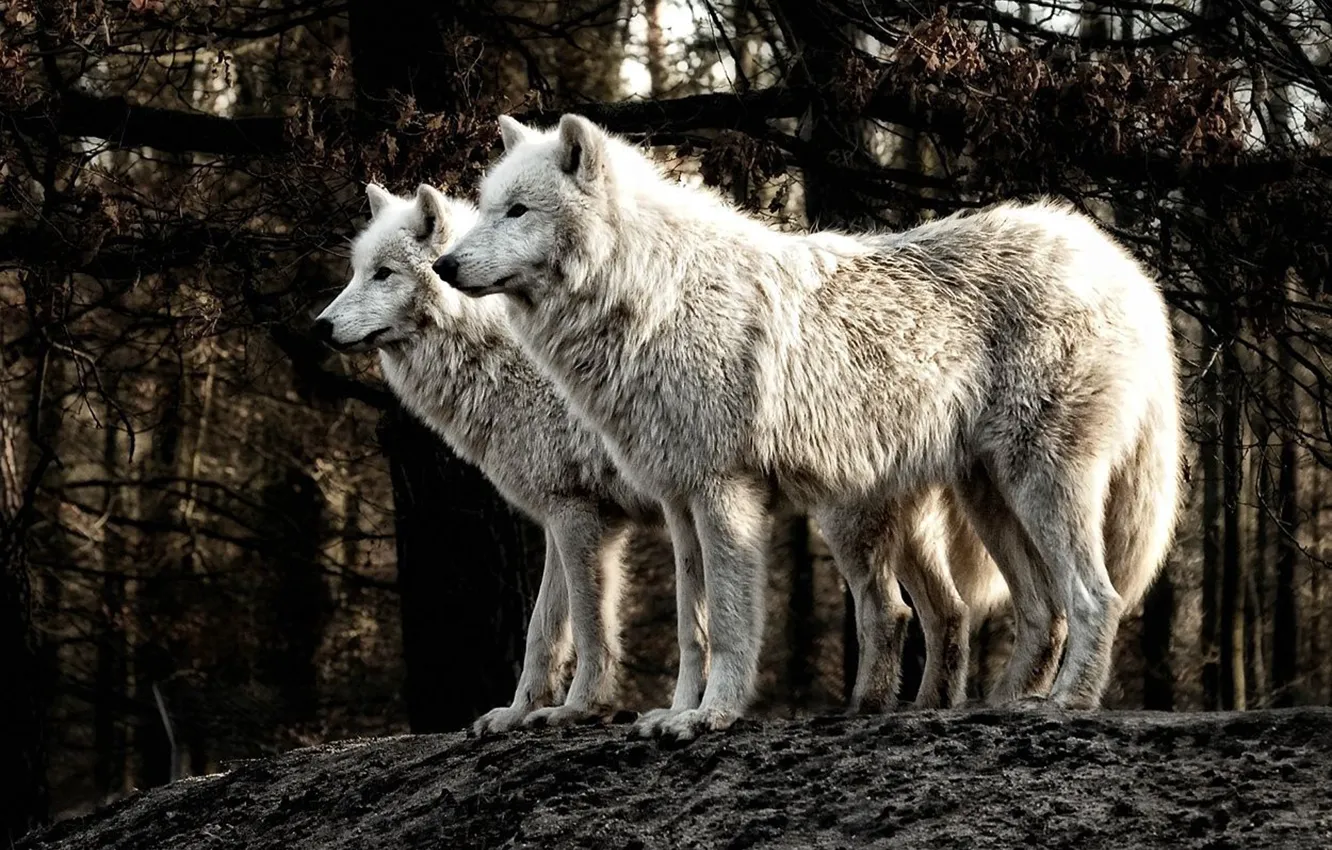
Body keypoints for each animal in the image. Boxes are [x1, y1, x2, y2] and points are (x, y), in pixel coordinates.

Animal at [315, 183, 1006, 734]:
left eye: (383, 274)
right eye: (356, 271)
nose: (319, 326)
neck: (511, 354)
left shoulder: (580, 517)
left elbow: (588, 627)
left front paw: (578, 711)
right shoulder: (564, 518)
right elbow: (544, 632)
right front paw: (516, 714)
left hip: (844, 519)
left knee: (891, 610)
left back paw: (868, 707)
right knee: (949, 610)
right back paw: (927, 708)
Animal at [434, 114, 1182, 741]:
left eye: (518, 211)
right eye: (487, 208)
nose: (443, 265)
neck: (652, 294)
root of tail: (1123, 268)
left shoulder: (723, 493)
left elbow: (729, 623)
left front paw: (711, 716)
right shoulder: (678, 501)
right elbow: (691, 628)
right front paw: (674, 712)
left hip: (1037, 485)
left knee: (1094, 596)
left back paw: (1066, 704)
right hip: (987, 496)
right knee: (1040, 609)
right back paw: (994, 705)